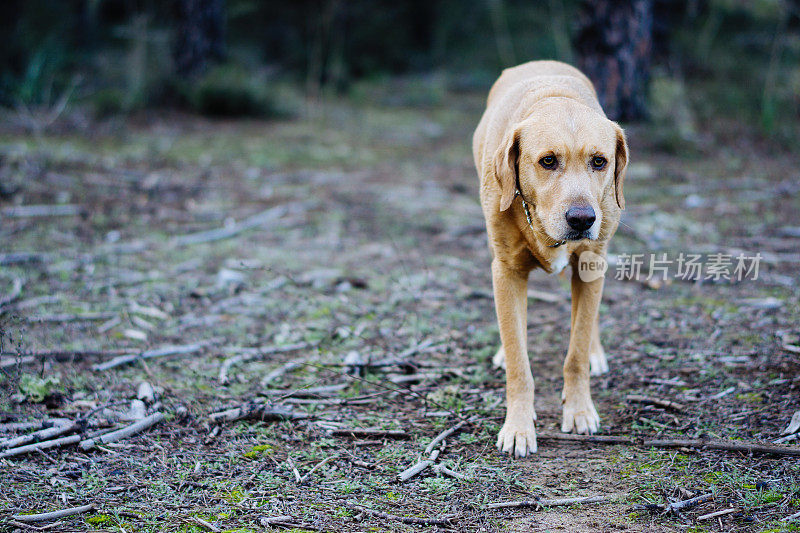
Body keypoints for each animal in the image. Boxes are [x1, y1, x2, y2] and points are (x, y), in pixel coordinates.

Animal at [472, 60, 628, 456]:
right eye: (548, 161)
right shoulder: (506, 271)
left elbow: (576, 351)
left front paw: (579, 410)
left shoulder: (590, 265)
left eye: (599, 161)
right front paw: (518, 427)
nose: (583, 219)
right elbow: (519, 363)